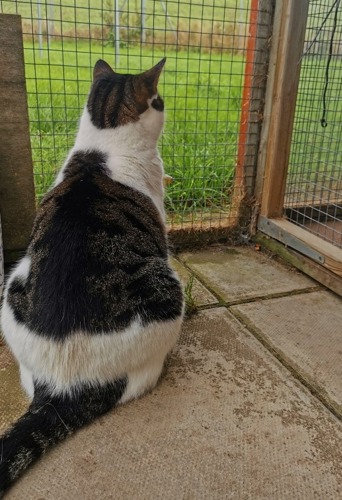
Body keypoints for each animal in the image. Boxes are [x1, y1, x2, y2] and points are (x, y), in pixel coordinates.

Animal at [0, 56, 184, 494]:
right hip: (167, 287)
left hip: (12, 286)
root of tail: (62, 388)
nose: (166, 105)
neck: (104, 143)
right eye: (159, 100)